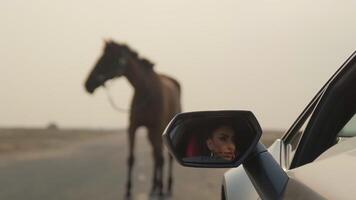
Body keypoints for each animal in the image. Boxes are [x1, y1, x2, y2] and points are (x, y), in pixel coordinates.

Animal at [85, 39, 182, 198]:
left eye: (107, 58)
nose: (87, 84)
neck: (146, 90)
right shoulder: (133, 127)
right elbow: (131, 158)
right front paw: (128, 190)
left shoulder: (158, 128)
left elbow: (161, 158)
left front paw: (161, 189)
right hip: (150, 133)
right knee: (155, 155)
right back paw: (154, 186)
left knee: (165, 157)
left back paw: (166, 186)